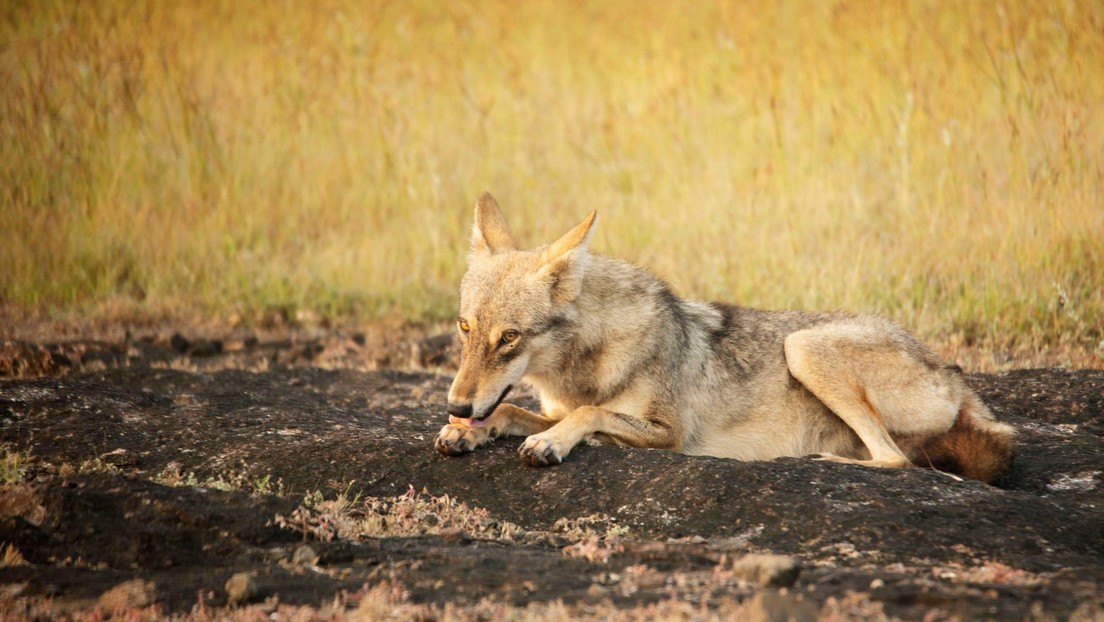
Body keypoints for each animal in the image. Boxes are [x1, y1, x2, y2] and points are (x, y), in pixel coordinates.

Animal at [432, 192, 1015, 483]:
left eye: (509, 338)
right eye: (465, 328)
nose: (456, 403)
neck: (584, 364)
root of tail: (956, 377)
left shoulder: (669, 433)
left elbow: (589, 414)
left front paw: (553, 442)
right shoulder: (548, 404)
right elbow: (513, 410)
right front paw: (465, 431)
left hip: (803, 347)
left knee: (894, 460)